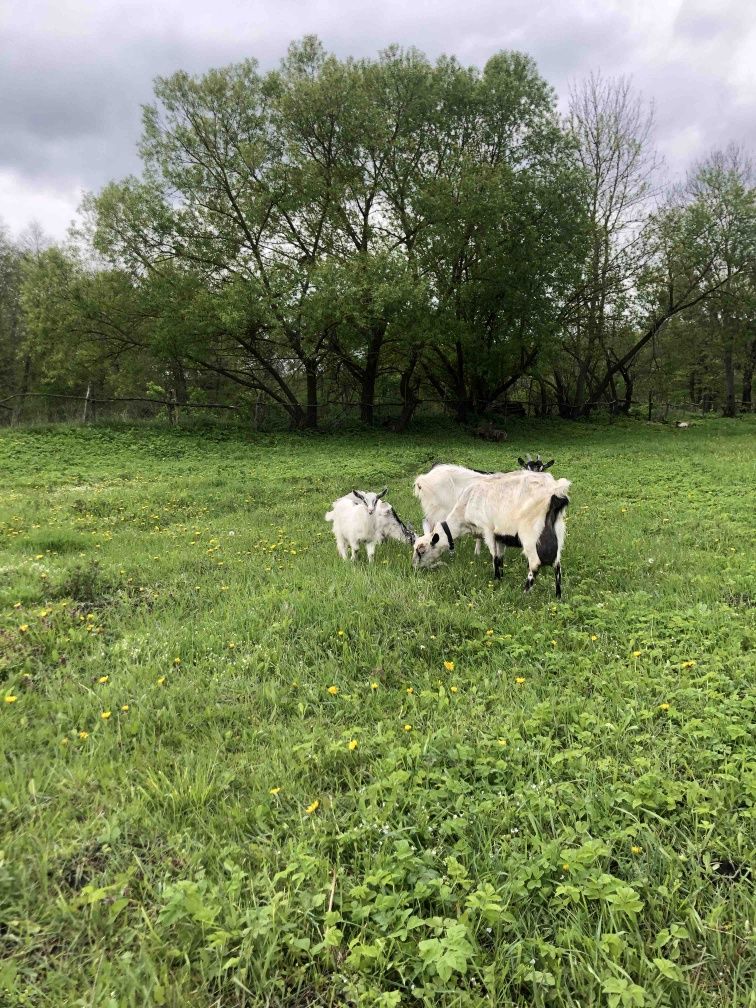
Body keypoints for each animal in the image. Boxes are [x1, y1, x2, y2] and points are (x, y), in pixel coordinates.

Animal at [415, 471, 568, 596]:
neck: (465, 506)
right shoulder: (500, 535)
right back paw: (558, 596)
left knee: (535, 563)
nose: (415, 568)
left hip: (530, 533)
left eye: (421, 551)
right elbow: (500, 557)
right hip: (558, 530)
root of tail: (555, 490)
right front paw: (501, 578)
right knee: (557, 564)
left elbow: (494, 556)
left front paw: (496, 579)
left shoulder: (487, 529)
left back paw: (525, 593)